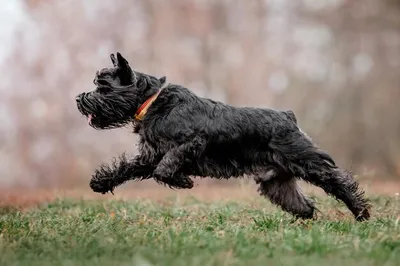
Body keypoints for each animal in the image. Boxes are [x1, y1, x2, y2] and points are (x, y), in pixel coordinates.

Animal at [76, 53, 372, 221]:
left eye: (103, 86)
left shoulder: (190, 143)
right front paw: (100, 183)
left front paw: (183, 181)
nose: (79, 99)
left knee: (339, 181)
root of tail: (288, 117)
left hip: (307, 161)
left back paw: (362, 213)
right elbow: (125, 168)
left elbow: (165, 168)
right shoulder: (149, 156)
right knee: (302, 204)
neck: (152, 102)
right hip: (276, 181)